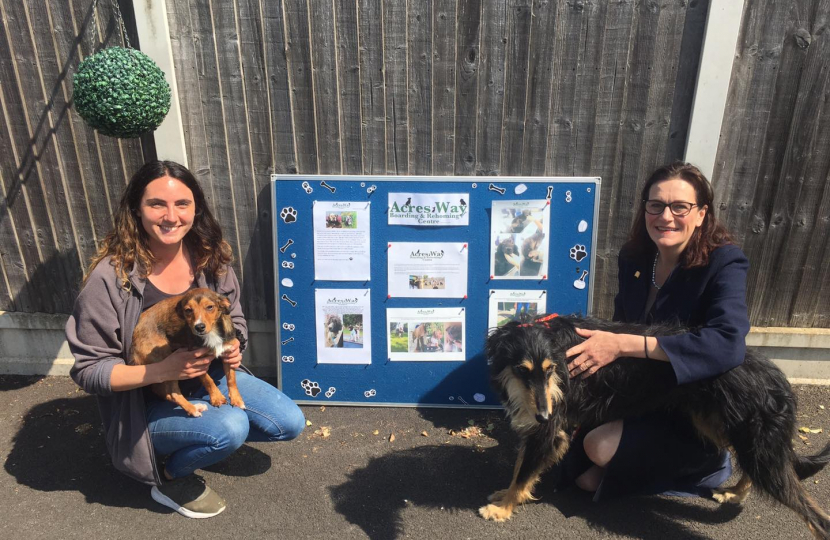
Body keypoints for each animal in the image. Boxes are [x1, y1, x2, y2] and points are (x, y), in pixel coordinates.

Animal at [131, 286, 244, 418]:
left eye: (210, 307)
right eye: (188, 310)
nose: (199, 327)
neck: (212, 333)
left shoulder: (228, 353)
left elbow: (231, 379)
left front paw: (237, 399)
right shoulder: (196, 362)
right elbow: (208, 381)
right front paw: (217, 397)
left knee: (165, 392)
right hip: (168, 365)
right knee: (173, 393)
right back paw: (192, 409)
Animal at [484, 314, 830, 536]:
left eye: (549, 369)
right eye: (522, 369)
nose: (543, 414)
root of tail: (778, 380)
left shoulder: (550, 429)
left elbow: (525, 472)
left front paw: (503, 509)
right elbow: (520, 467)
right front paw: (504, 495)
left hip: (753, 443)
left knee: (813, 512)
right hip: (722, 427)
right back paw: (734, 492)